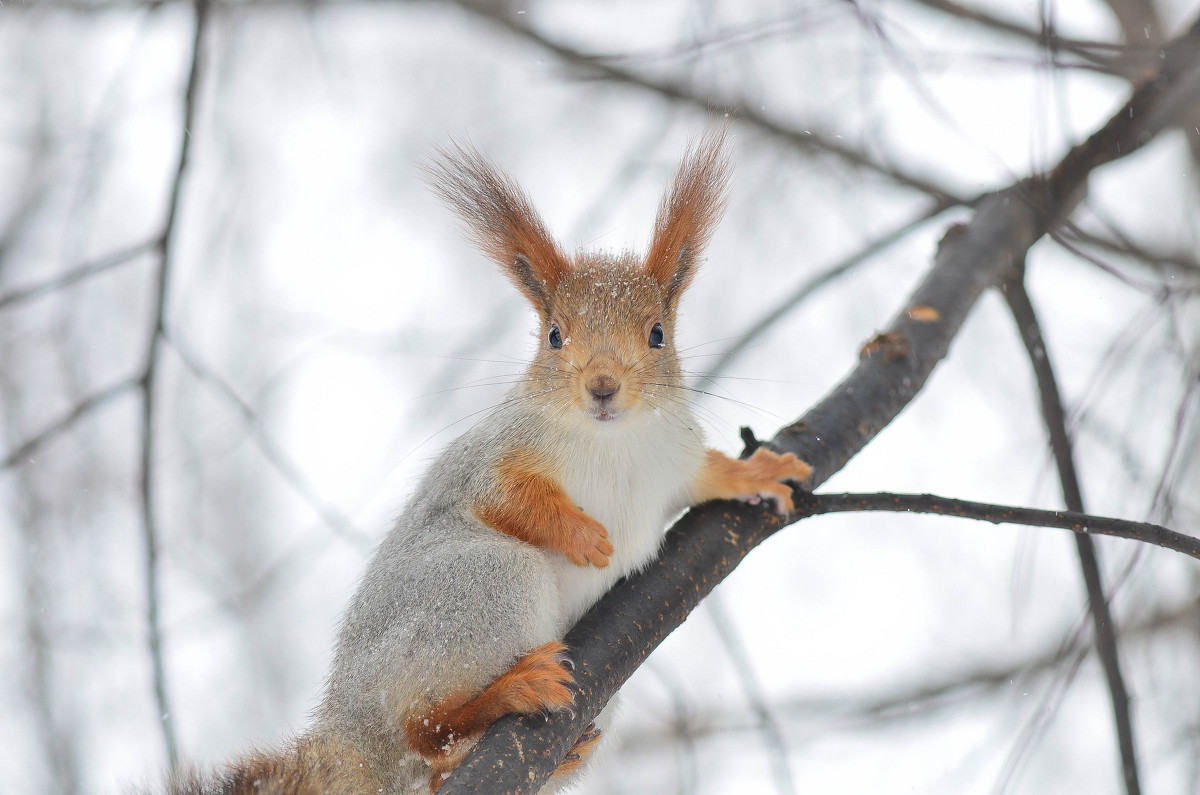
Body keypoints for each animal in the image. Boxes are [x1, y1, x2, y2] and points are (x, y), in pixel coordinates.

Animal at [171, 127, 816, 792]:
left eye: (658, 334)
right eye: (554, 336)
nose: (602, 387)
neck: (615, 441)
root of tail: (353, 731)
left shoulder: (675, 460)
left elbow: (708, 479)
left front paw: (760, 472)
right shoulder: (497, 455)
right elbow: (504, 496)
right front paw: (583, 535)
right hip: (479, 586)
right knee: (423, 725)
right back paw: (511, 690)